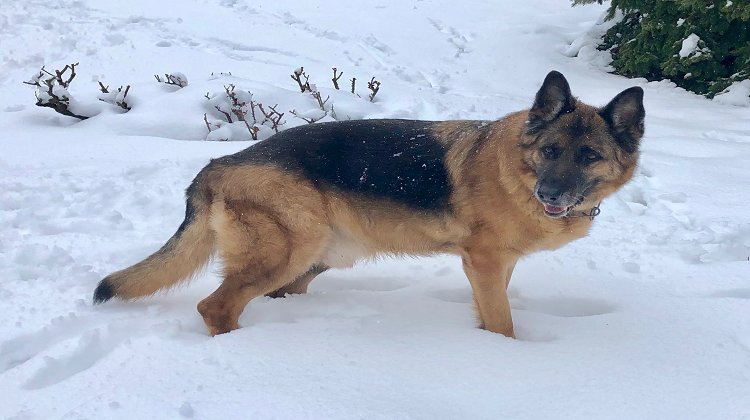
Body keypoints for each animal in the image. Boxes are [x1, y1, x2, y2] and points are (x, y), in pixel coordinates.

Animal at [94, 70, 648, 336]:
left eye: (589, 156)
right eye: (550, 151)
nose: (549, 195)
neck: (515, 166)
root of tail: (218, 164)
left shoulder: (496, 268)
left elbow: (492, 313)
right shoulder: (486, 263)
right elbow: (503, 323)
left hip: (316, 260)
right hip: (290, 252)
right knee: (215, 306)